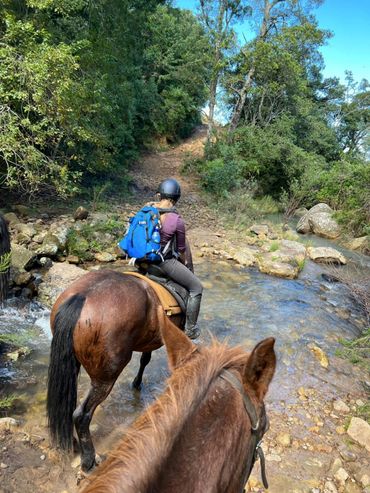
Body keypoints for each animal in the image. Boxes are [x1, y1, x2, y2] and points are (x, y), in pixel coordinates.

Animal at [46, 270, 185, 472]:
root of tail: (81, 297)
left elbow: (145, 359)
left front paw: (136, 383)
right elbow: (150, 358)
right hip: (105, 377)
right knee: (81, 415)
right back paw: (88, 460)